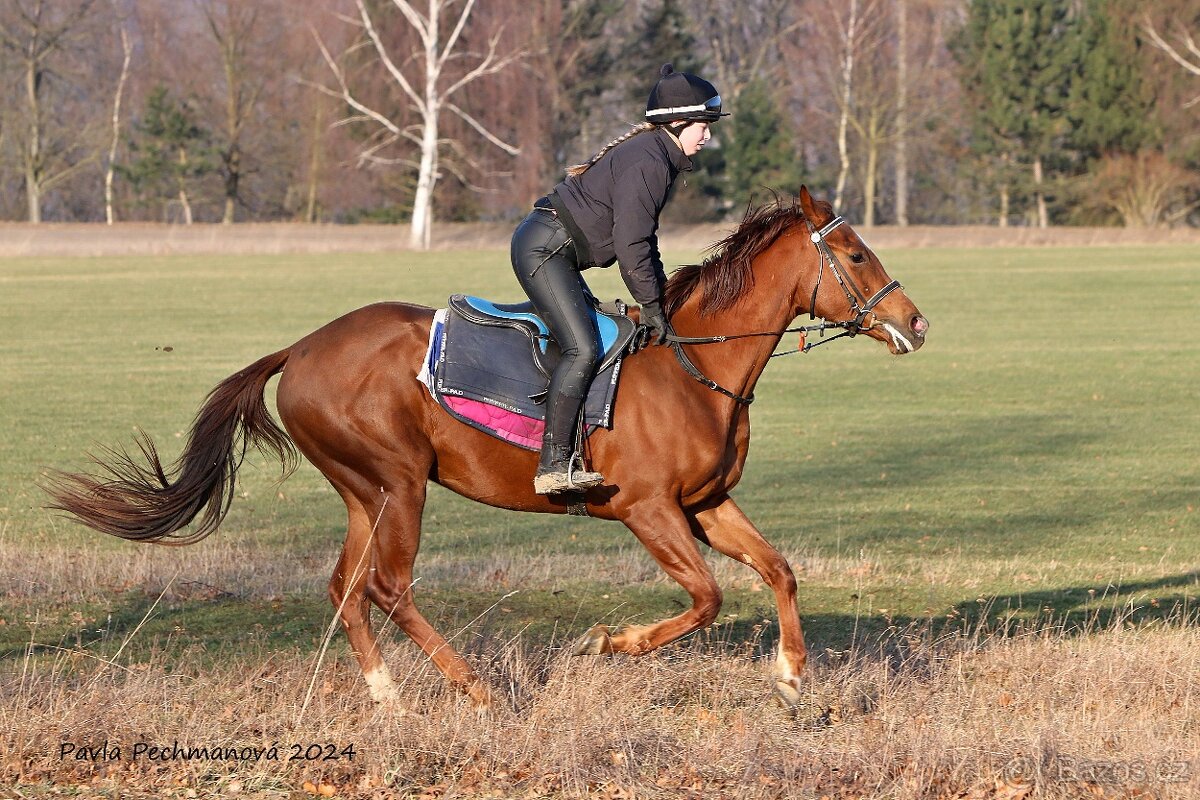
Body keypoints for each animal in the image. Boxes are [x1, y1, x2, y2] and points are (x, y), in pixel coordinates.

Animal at [44, 188, 926, 705]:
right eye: (855, 253)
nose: (914, 322)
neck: (694, 364)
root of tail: (298, 350)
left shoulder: (706, 504)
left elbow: (778, 569)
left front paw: (791, 675)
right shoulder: (650, 510)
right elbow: (706, 598)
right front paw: (609, 642)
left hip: (365, 491)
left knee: (347, 586)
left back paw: (388, 698)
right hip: (400, 483)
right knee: (389, 585)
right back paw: (472, 687)